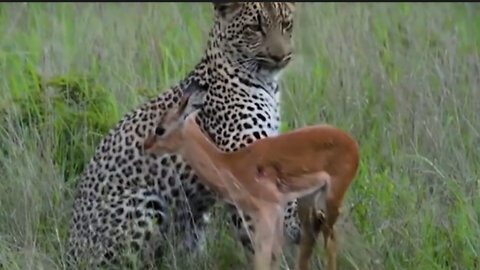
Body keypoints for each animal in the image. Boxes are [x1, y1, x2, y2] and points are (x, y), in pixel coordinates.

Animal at [66, 2, 302, 268]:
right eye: (255, 27)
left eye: (286, 24)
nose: (281, 56)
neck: (267, 84)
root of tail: (69, 253)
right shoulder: (242, 151)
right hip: (143, 205)